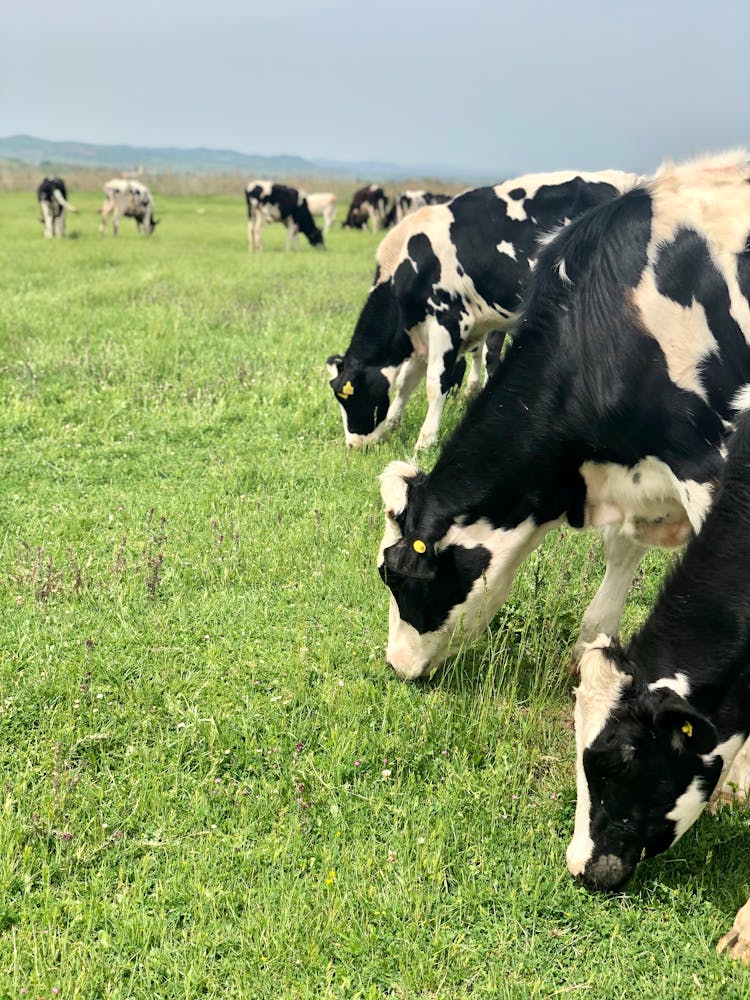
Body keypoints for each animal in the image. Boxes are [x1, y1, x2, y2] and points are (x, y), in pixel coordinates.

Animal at [328, 171, 636, 450]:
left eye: (350, 396)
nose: (354, 445)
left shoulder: (448, 322)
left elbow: (434, 384)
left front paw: (425, 441)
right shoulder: (420, 334)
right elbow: (406, 381)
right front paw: (393, 422)